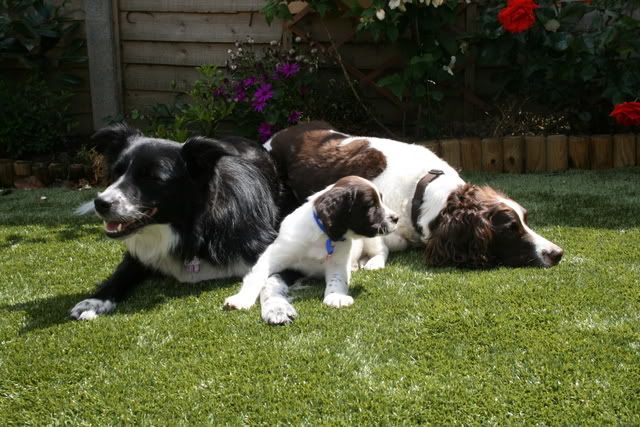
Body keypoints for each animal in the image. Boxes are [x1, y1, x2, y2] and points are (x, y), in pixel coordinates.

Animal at [70, 125, 282, 320]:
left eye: (152, 177)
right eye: (116, 172)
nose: (100, 203)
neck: (195, 230)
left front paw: (275, 307)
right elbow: (121, 274)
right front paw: (94, 301)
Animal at [222, 176, 398, 326]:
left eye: (381, 201)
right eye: (371, 205)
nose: (396, 218)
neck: (322, 235)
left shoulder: (339, 261)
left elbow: (337, 278)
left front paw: (336, 297)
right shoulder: (278, 257)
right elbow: (257, 277)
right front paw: (241, 299)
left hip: (371, 240)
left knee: (382, 250)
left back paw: (373, 263)